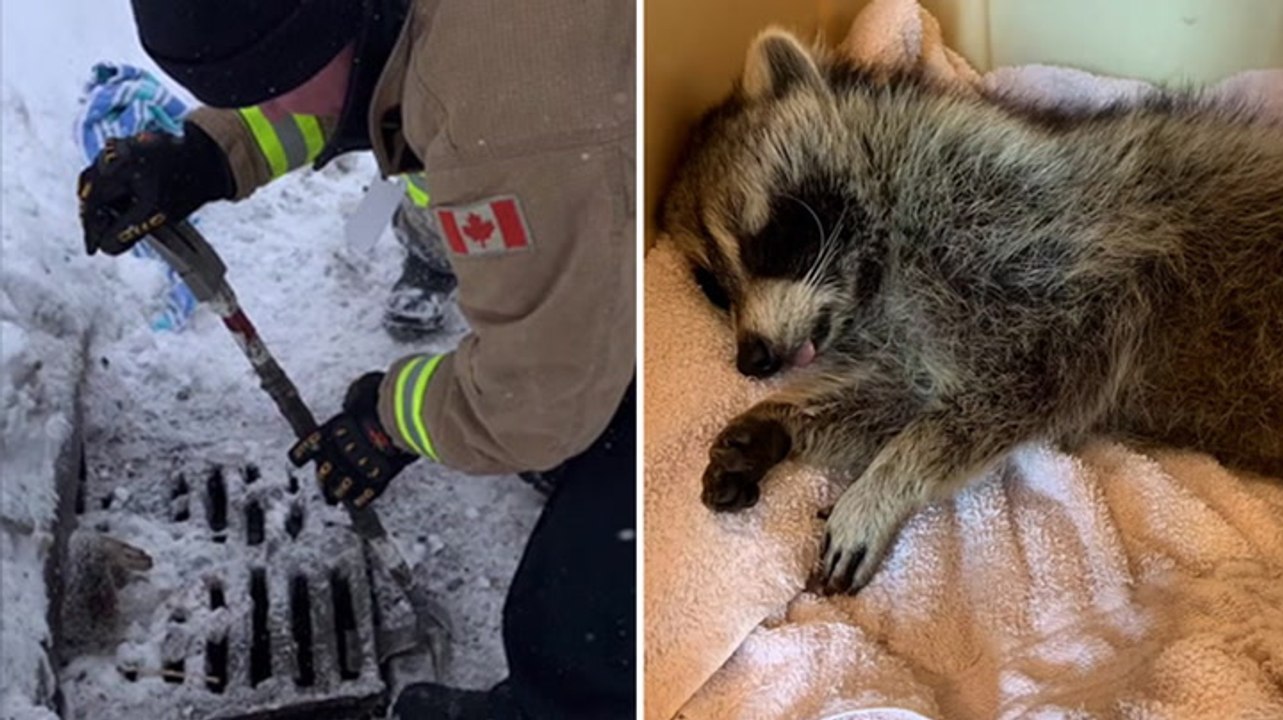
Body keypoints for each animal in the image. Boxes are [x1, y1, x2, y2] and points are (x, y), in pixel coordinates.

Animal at [660, 28, 1283, 593]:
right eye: (713, 289)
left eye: (768, 243)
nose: (753, 360)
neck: (876, 274)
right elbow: (906, 398)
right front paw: (786, 420)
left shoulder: (1047, 248)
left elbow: (1008, 391)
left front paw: (888, 481)